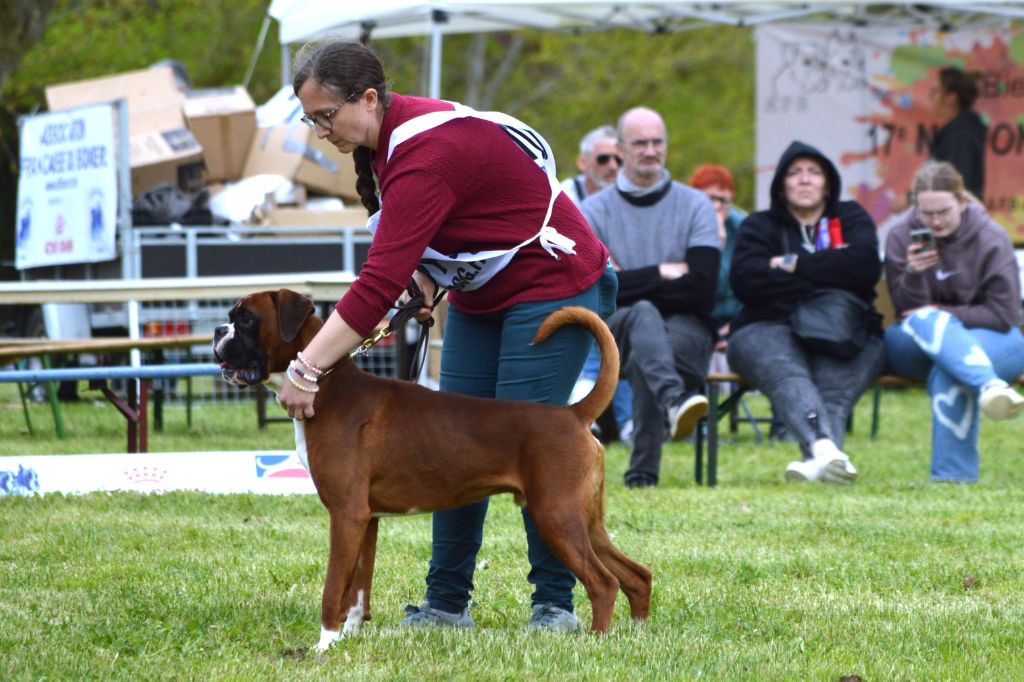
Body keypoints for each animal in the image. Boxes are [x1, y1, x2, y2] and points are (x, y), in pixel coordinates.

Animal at [211, 286, 651, 647]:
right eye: (232, 317)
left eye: (245, 319)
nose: (217, 331)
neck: (328, 385)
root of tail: (572, 414)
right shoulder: (366, 520)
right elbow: (357, 588)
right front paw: (350, 637)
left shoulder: (346, 515)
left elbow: (333, 587)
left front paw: (324, 644)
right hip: (583, 521)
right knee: (637, 575)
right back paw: (638, 632)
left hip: (555, 516)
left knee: (604, 582)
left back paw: (596, 641)